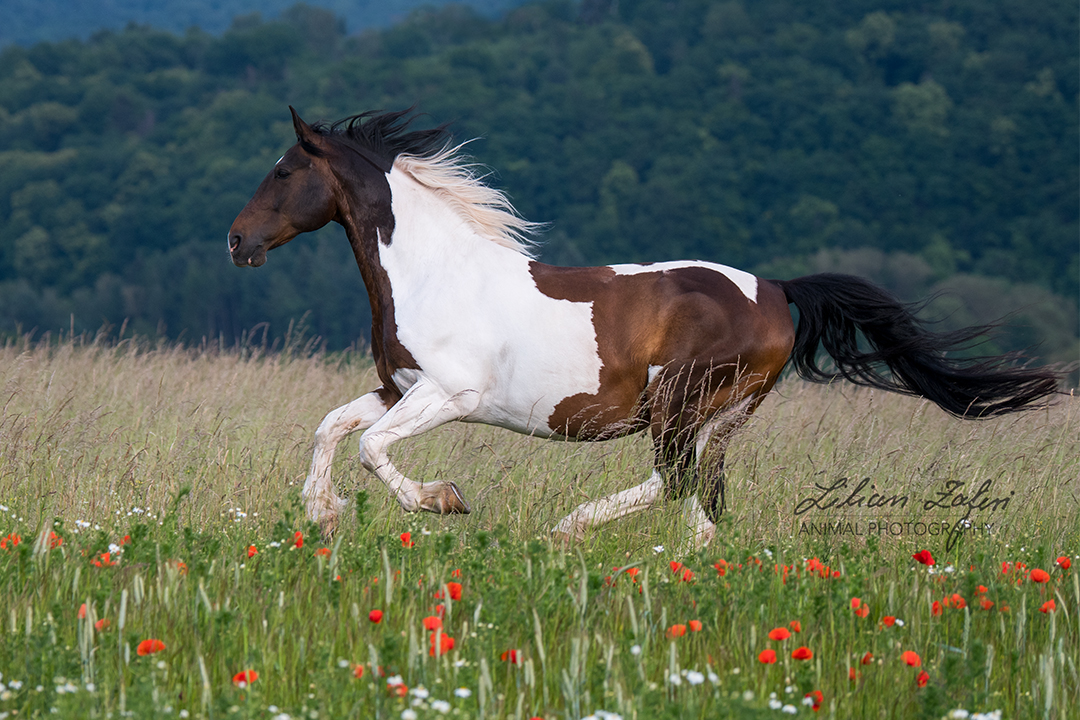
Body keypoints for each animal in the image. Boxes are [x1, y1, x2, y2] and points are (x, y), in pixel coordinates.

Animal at [223, 110, 1058, 544]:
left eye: (284, 172)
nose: (236, 241)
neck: (433, 274)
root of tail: (776, 291)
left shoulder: (450, 395)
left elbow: (370, 448)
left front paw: (444, 500)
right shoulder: (400, 387)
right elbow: (334, 427)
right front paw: (321, 512)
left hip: (681, 405)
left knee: (677, 481)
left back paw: (571, 528)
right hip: (720, 415)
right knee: (705, 500)